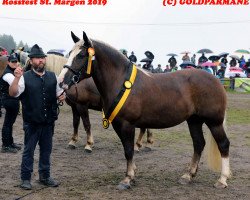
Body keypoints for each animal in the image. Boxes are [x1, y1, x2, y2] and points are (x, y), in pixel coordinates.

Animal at [58, 30, 230, 189]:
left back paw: (222, 180)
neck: (120, 81)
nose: (61, 81)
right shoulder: (118, 124)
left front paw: (127, 179)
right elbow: (127, 149)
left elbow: (128, 150)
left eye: (81, 55)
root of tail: (216, 80)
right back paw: (188, 176)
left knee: (223, 144)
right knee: (198, 144)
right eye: (69, 53)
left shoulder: (127, 124)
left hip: (214, 122)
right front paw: (132, 172)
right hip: (194, 120)